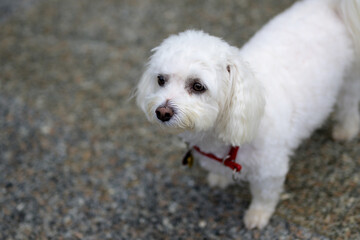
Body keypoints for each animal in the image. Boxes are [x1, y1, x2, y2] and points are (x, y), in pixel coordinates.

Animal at [136, 0, 360, 229]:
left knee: (350, 105)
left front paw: (257, 216)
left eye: (198, 86)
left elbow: (265, 195)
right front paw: (220, 179)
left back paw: (345, 130)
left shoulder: (270, 169)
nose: (162, 112)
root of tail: (330, 6)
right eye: (161, 80)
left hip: (350, 80)